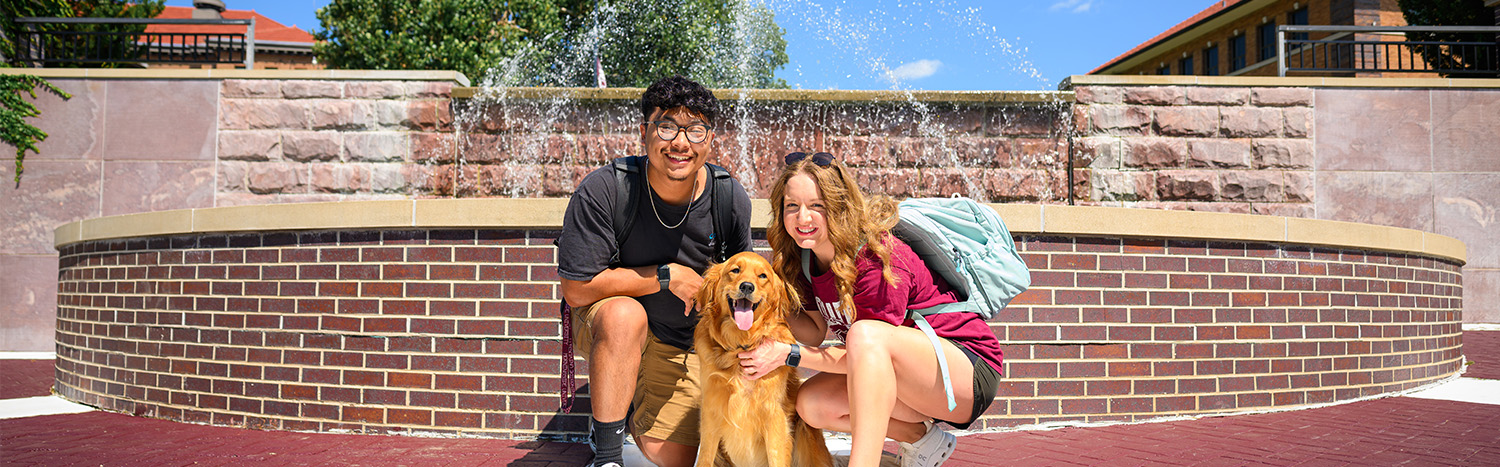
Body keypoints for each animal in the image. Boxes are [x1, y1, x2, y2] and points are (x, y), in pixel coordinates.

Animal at [690, 252, 834, 467]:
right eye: (735, 270)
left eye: (762, 276)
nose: (747, 287)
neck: (741, 344)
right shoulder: (711, 411)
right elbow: (705, 458)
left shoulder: (775, 416)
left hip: (804, 432)